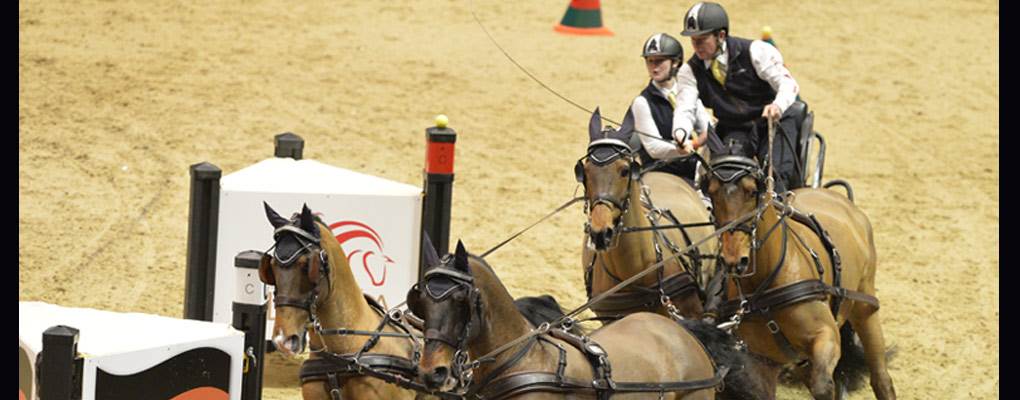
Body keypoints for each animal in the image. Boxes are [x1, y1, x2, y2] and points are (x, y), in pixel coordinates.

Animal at [699, 150, 896, 400]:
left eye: (752, 191)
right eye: (712, 192)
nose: (734, 260)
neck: (765, 287)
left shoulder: (827, 335)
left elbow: (823, 386)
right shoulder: (760, 361)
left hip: (865, 308)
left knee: (881, 379)